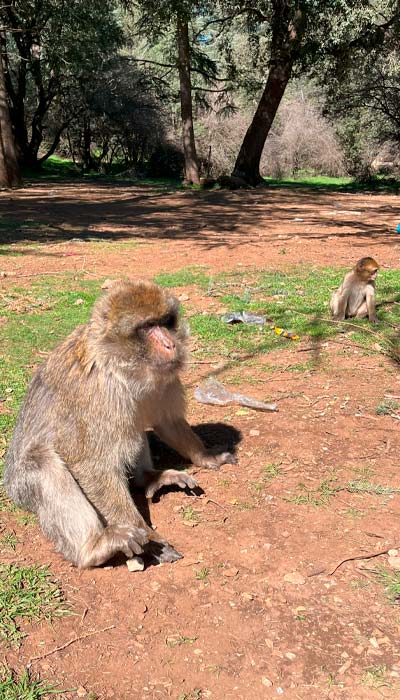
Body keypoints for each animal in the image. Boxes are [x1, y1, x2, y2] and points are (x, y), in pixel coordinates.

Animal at [4, 280, 235, 569]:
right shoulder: (97, 394)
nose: (171, 344)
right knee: (42, 462)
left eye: (165, 322)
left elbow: (166, 421)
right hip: (21, 488)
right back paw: (94, 548)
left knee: (133, 427)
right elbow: (90, 465)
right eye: (147, 327)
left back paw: (149, 478)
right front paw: (149, 537)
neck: (120, 367)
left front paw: (205, 456)